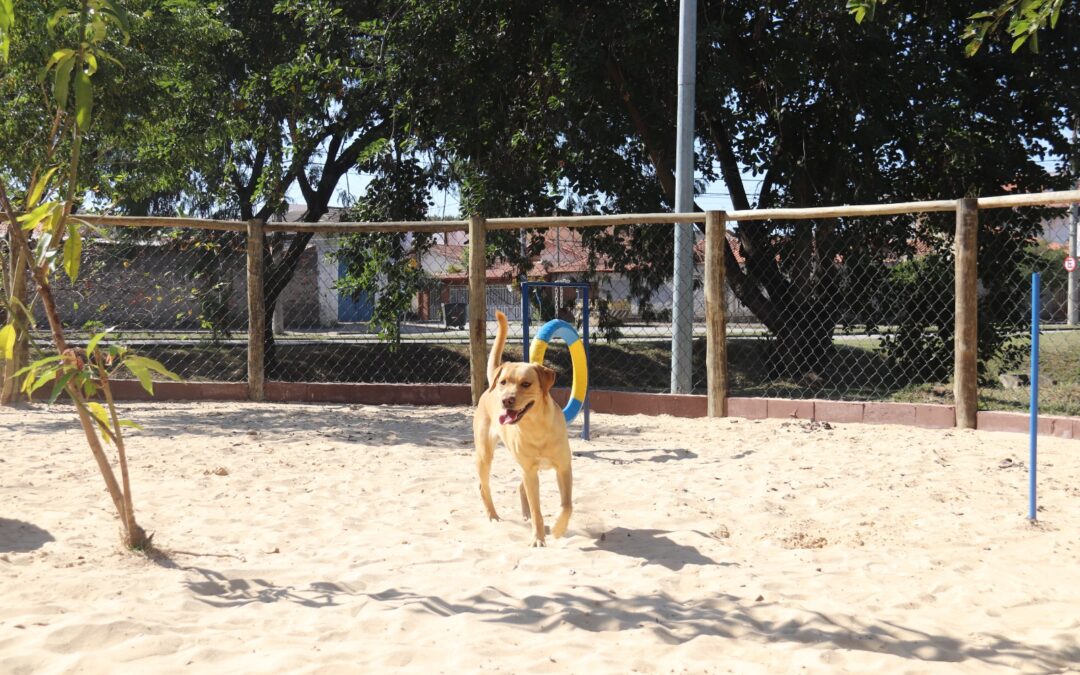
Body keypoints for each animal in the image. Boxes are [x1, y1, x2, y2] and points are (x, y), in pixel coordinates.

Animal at [475, 311, 574, 548]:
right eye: (504, 382)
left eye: (526, 384)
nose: (506, 400)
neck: (536, 427)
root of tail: (489, 385)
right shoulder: (529, 470)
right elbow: (538, 511)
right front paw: (538, 538)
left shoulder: (564, 467)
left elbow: (567, 505)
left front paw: (558, 529)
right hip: (485, 455)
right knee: (484, 487)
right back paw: (493, 516)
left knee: (521, 488)